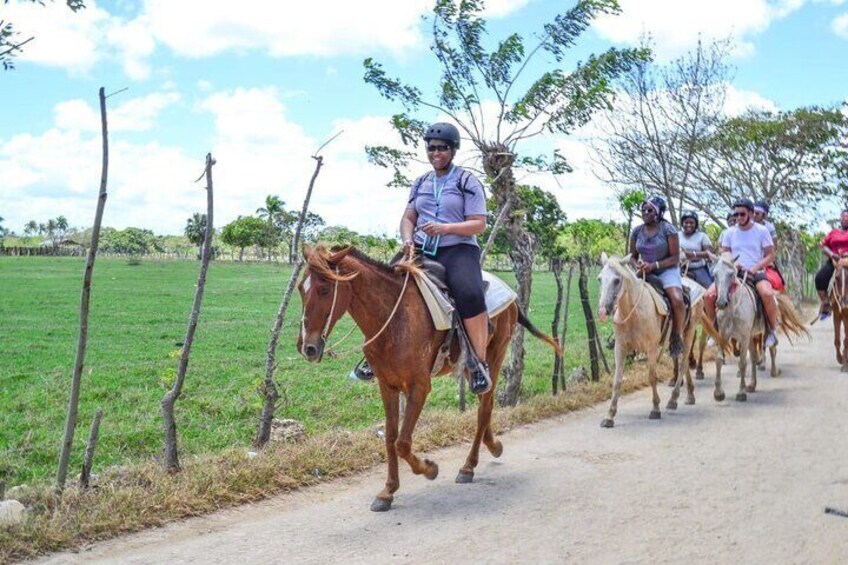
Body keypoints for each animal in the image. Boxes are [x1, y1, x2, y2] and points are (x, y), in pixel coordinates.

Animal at [294, 245, 560, 508]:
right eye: (300, 289)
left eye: (325, 289)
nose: (308, 347)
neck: (393, 317)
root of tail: (512, 296)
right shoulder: (387, 385)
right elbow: (391, 437)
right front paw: (388, 491)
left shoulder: (419, 387)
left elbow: (402, 443)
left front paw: (429, 469)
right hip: (469, 366)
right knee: (486, 404)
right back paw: (493, 445)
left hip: (496, 355)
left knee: (485, 407)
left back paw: (469, 466)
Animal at [592, 253, 700, 426]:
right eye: (599, 278)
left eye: (617, 280)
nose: (602, 311)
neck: (634, 311)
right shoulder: (620, 347)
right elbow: (617, 380)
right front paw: (609, 416)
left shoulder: (651, 347)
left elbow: (652, 376)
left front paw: (655, 409)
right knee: (681, 359)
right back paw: (689, 395)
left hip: (689, 331)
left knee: (684, 364)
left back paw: (673, 399)